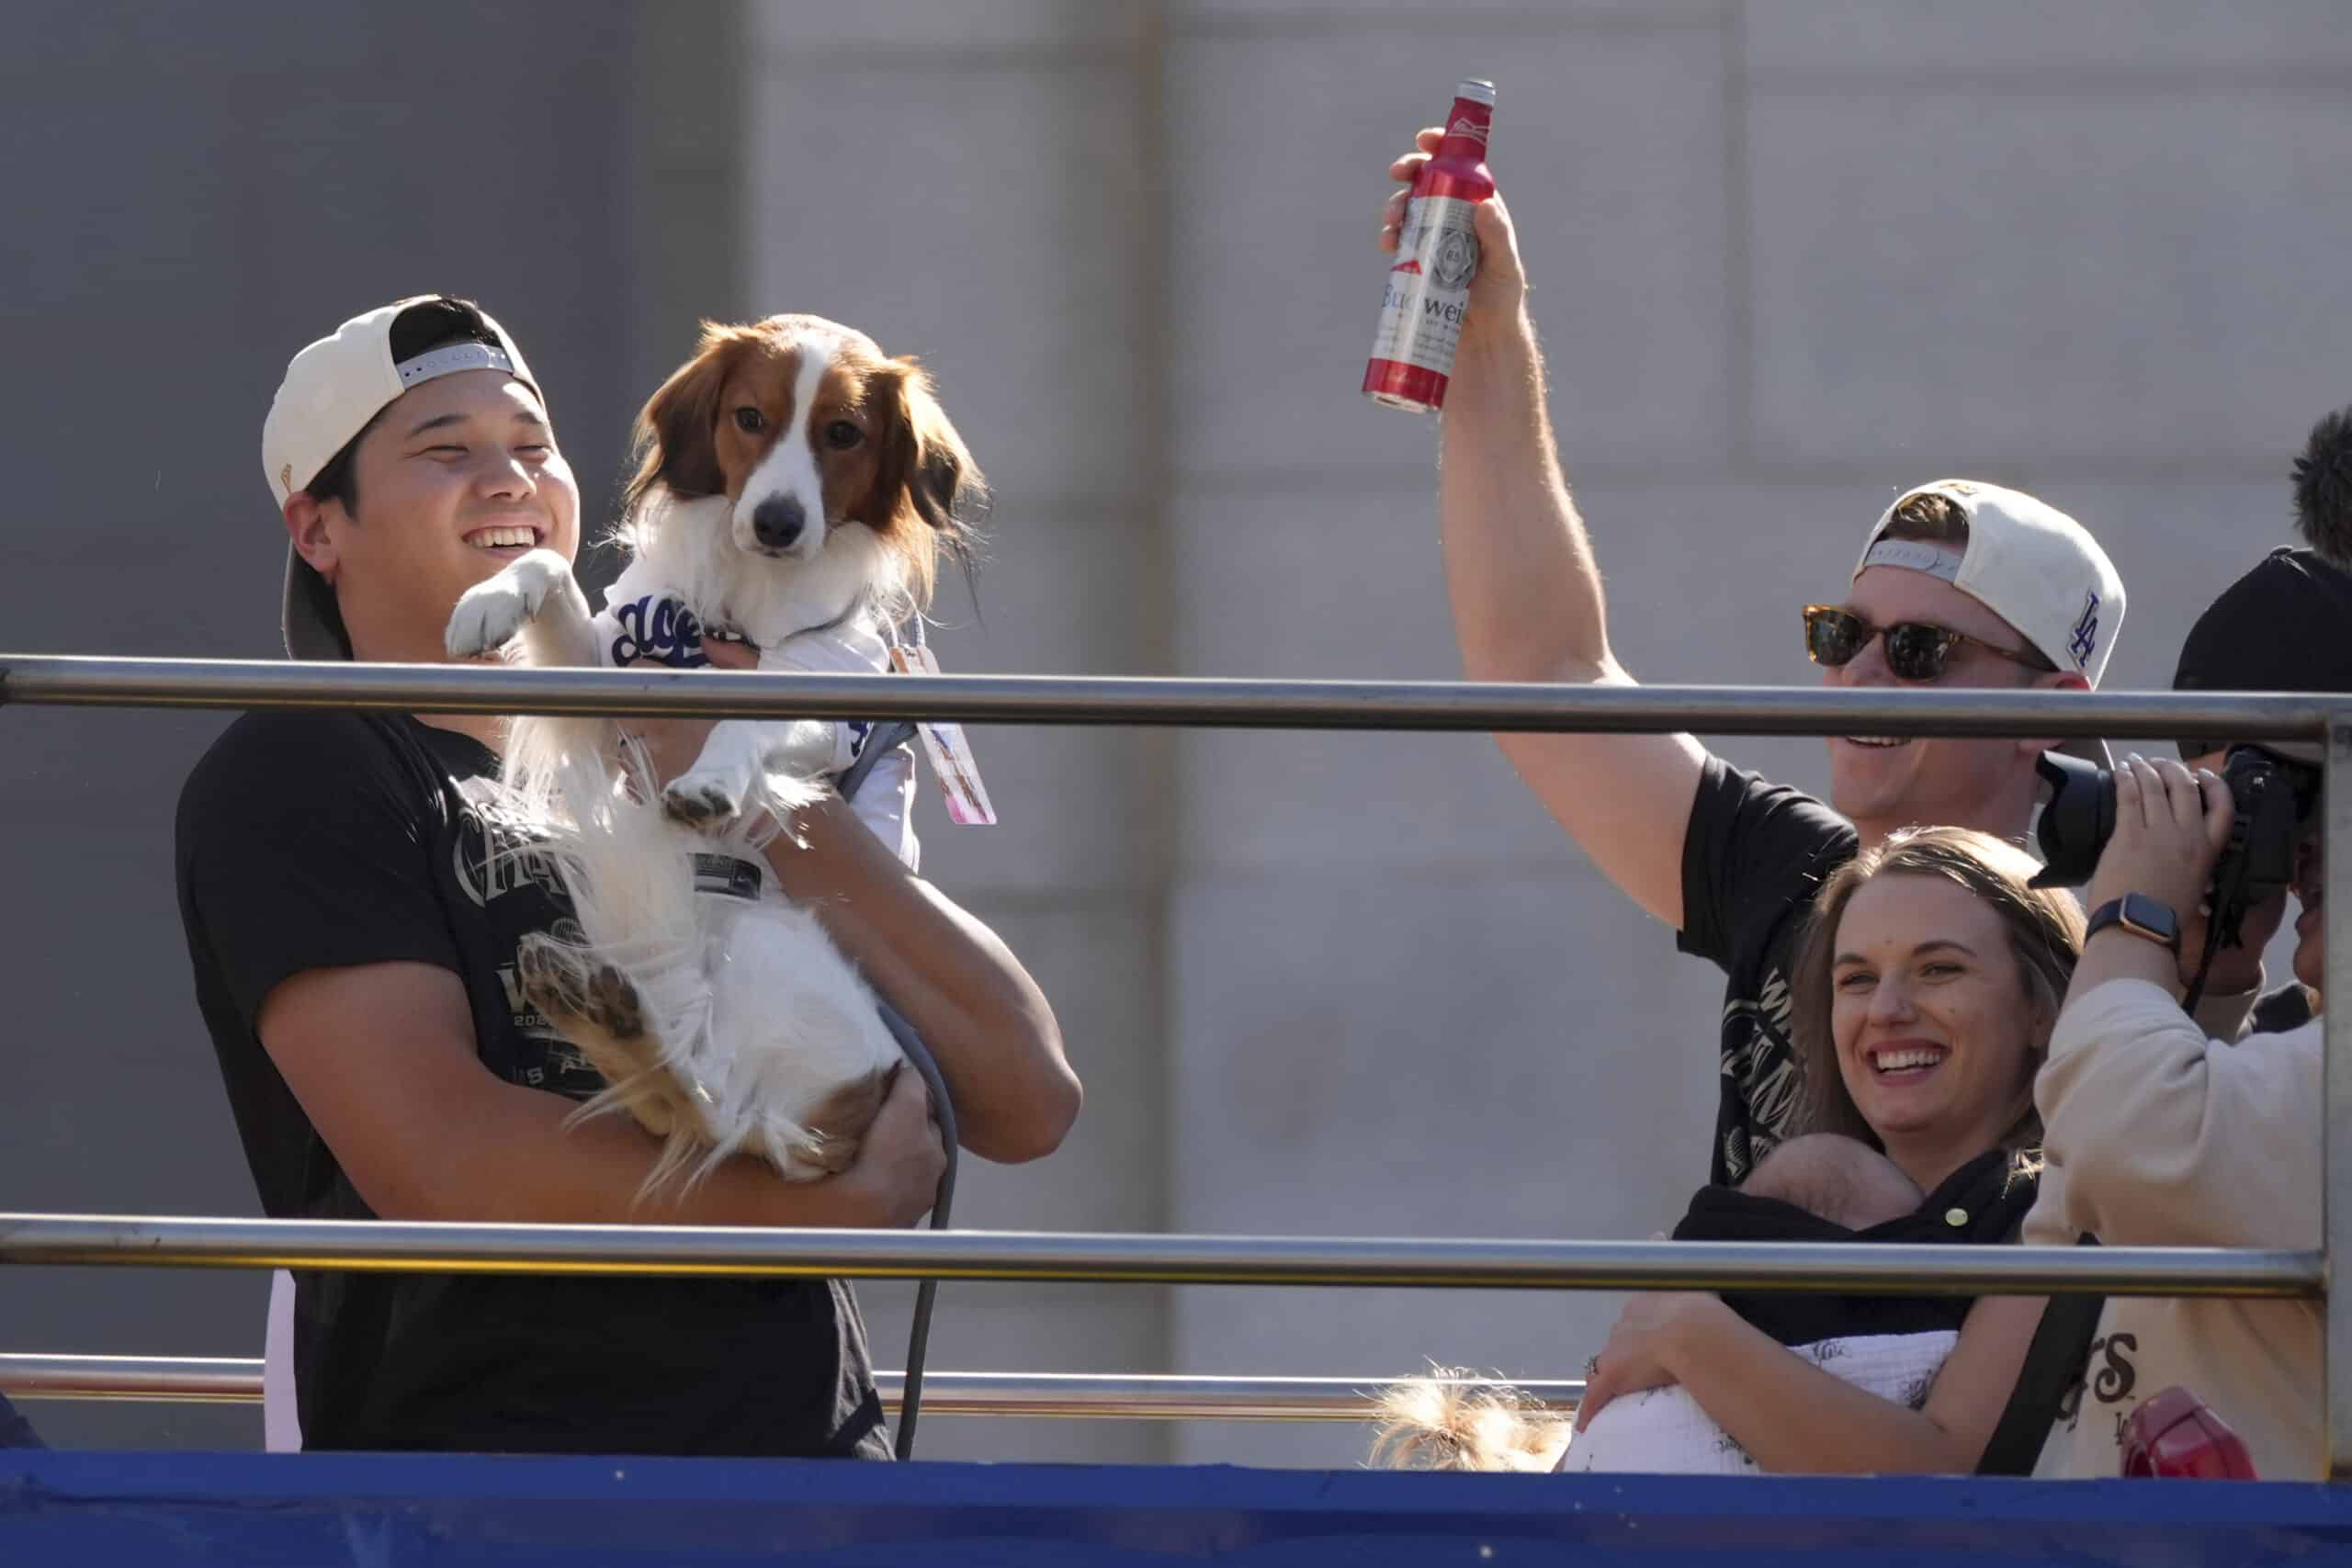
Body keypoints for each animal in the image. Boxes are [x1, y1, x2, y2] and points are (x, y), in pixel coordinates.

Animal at [442, 312, 983, 1189]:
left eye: (844, 433)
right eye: (750, 418)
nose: (776, 522)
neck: (750, 602)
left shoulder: (824, 692)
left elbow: (746, 723)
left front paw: (712, 783)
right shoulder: (608, 691)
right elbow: (547, 562)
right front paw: (489, 598)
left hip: (773, 957)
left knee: (712, 1107)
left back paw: (617, 1023)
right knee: (687, 1106)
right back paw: (599, 1011)